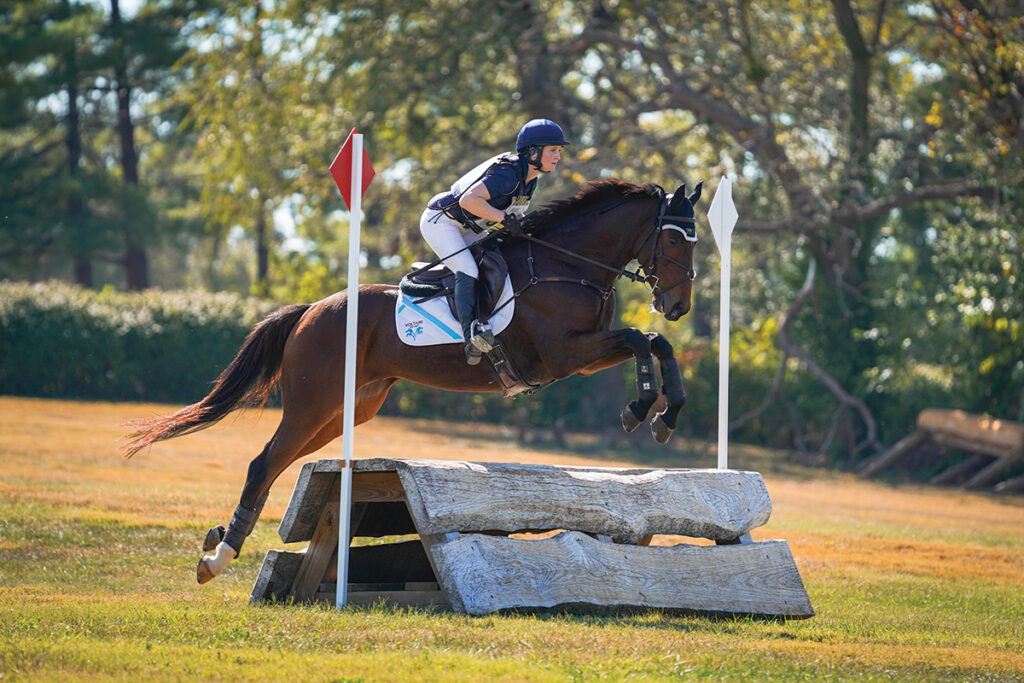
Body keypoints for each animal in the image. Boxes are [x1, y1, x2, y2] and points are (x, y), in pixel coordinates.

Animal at [121, 176, 704, 581]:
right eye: (676, 242)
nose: (677, 306)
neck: (569, 265)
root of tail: (311, 310)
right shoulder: (562, 355)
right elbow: (640, 339)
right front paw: (641, 407)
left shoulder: (583, 354)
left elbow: (655, 343)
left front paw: (665, 415)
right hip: (313, 403)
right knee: (264, 461)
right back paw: (219, 556)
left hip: (348, 410)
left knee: (280, 461)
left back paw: (220, 544)